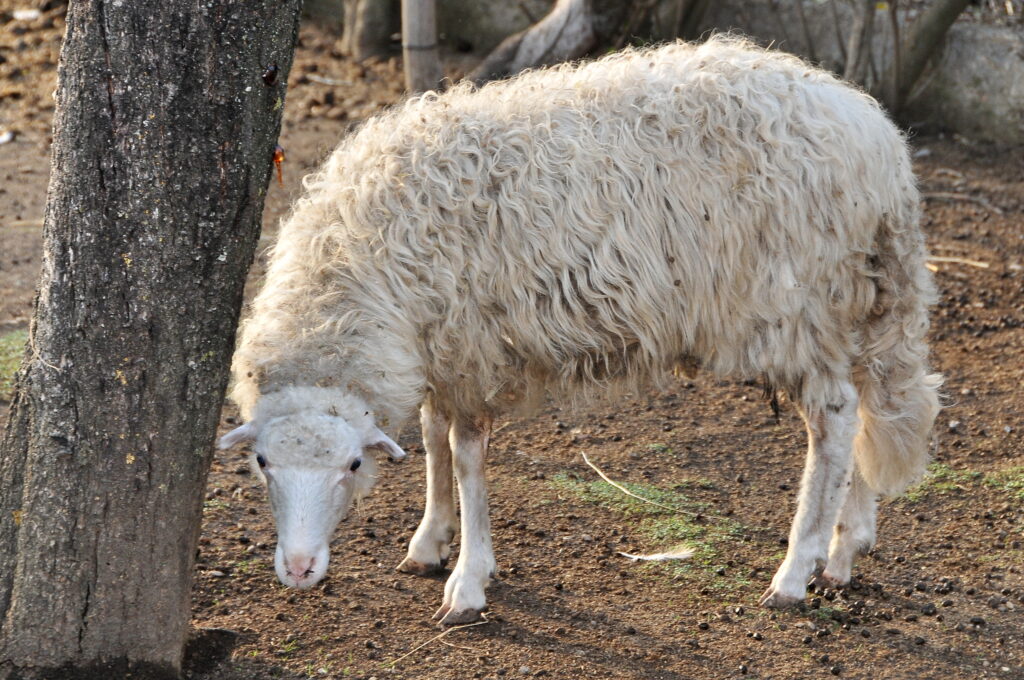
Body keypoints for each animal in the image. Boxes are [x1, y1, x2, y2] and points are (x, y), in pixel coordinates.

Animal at [222, 34, 942, 622]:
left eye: (350, 465)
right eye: (262, 463)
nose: (299, 570)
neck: (359, 265)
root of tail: (879, 140)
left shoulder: (471, 345)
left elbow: (463, 451)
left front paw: (468, 580)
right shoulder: (441, 345)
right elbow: (430, 437)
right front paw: (431, 539)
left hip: (795, 307)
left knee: (835, 420)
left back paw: (796, 570)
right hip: (850, 301)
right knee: (869, 403)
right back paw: (846, 549)